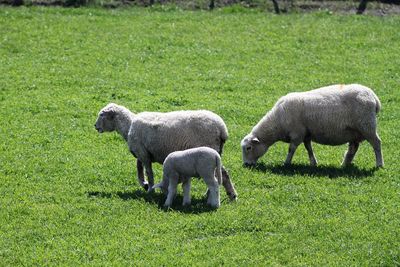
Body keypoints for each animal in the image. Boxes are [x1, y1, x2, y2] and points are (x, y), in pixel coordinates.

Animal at [94, 103, 238, 200]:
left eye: (102, 115)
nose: (95, 126)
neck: (128, 126)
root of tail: (222, 129)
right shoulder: (142, 153)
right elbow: (139, 169)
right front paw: (145, 184)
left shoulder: (143, 153)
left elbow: (149, 172)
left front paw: (150, 190)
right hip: (216, 152)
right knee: (221, 174)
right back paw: (224, 195)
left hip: (210, 149)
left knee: (220, 175)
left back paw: (221, 195)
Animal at [241, 84, 384, 168]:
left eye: (249, 148)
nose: (246, 164)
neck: (277, 122)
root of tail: (374, 97)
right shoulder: (306, 134)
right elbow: (309, 148)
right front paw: (313, 163)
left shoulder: (297, 134)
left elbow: (291, 149)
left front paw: (286, 163)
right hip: (355, 131)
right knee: (353, 148)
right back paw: (344, 165)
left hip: (367, 126)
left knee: (376, 143)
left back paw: (379, 164)